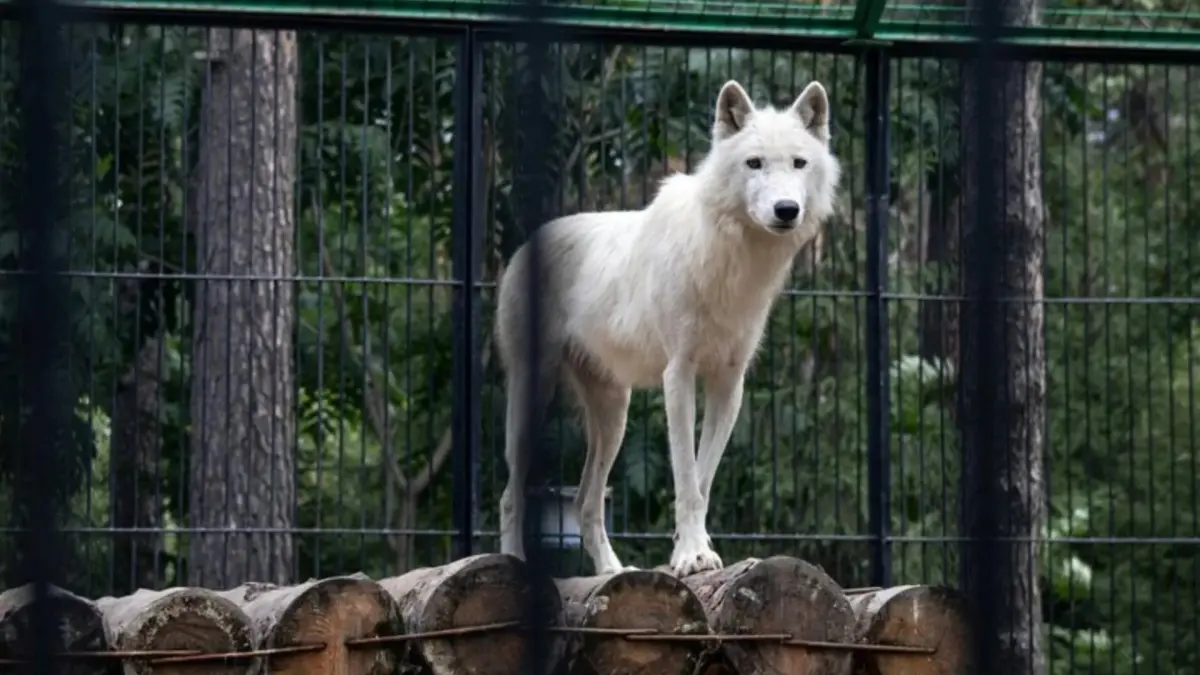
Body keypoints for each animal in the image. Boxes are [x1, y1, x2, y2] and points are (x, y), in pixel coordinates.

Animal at [494, 79, 841, 577]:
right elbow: (686, 477)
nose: (786, 209)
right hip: (533, 396)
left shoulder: (729, 383)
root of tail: (525, 247)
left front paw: (695, 550)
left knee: (584, 502)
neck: (733, 262)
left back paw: (614, 572)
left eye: (799, 163)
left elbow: (702, 479)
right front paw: (691, 556)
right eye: (754, 163)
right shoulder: (677, 375)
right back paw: (513, 565)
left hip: (614, 414)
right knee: (510, 495)